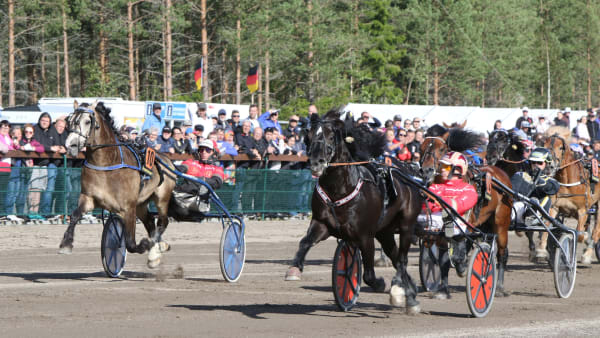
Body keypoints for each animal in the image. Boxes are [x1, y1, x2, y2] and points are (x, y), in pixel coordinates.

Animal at [58, 101, 176, 268]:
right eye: (69, 121)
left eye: (87, 121)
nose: (71, 145)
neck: (106, 164)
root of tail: (166, 159)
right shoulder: (89, 198)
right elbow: (74, 215)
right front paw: (66, 244)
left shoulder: (128, 207)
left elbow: (131, 243)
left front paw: (146, 244)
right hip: (141, 203)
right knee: (150, 223)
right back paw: (157, 250)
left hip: (161, 198)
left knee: (162, 222)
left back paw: (155, 250)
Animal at [284, 108, 422, 314]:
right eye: (308, 136)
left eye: (330, 136)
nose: (316, 163)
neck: (340, 190)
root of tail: (407, 174)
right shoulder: (321, 224)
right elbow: (305, 242)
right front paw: (294, 269)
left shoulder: (365, 236)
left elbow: (369, 275)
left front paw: (380, 283)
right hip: (385, 232)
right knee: (396, 257)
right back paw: (407, 291)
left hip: (406, 226)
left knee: (402, 260)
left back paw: (407, 297)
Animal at [420, 124, 512, 296]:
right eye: (420, 148)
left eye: (441, 148)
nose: (427, 170)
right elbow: (443, 258)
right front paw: (443, 289)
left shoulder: (464, 223)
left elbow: (458, 252)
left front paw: (462, 266)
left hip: (501, 223)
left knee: (502, 253)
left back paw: (499, 287)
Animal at [540, 127, 596, 264]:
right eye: (544, 145)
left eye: (561, 147)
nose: (549, 165)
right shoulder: (554, 207)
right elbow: (546, 226)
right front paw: (542, 251)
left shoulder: (583, 210)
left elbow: (579, 234)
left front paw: (585, 239)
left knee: (596, 231)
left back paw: (587, 253)